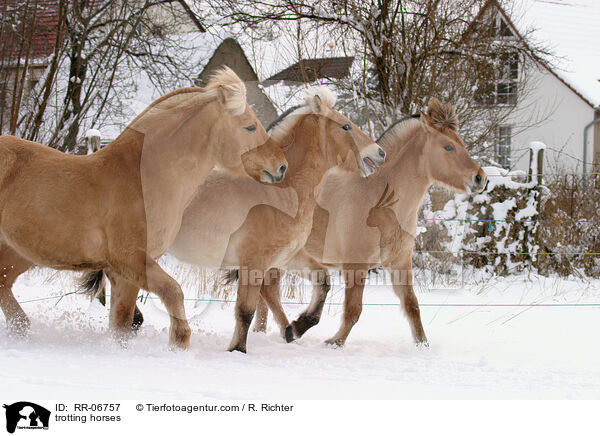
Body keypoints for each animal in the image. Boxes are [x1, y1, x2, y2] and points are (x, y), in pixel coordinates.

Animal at [0, 67, 288, 348]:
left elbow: (121, 323)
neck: (143, 178)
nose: (281, 166)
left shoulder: (124, 273)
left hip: (18, 252)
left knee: (4, 288)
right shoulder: (130, 258)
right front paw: (179, 342)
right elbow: (173, 291)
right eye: (250, 127)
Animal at [253, 98, 488, 348]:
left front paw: (422, 345)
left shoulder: (399, 263)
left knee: (265, 293)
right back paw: (290, 330)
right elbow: (353, 310)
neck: (379, 201)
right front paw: (335, 342)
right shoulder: (355, 265)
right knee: (268, 291)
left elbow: (412, 305)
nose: (480, 178)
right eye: (448, 147)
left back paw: (266, 331)